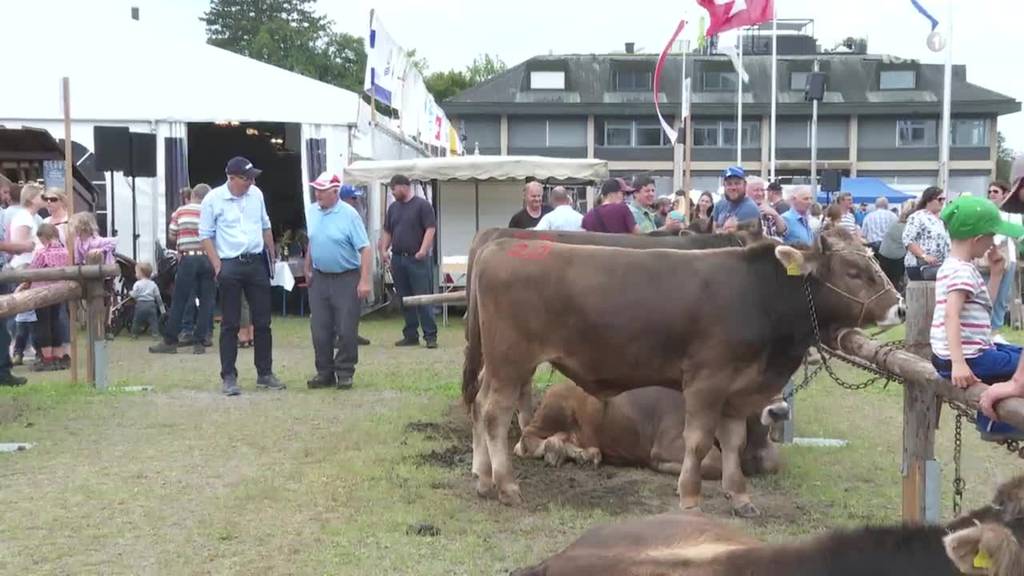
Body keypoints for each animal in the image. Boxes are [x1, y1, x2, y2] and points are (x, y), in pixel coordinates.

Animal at [512, 381, 790, 479]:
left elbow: (772, 462)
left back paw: (582, 454)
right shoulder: (671, 442)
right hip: (556, 407)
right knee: (527, 440)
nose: (779, 411)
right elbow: (715, 462)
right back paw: (553, 450)